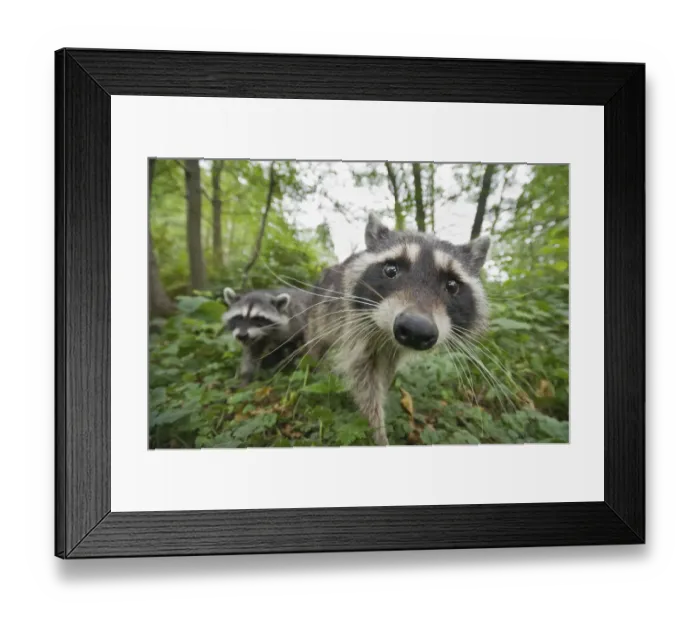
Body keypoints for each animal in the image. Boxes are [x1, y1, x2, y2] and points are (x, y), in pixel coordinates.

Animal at [305, 212, 491, 446]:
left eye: (452, 285)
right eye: (391, 270)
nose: (416, 329)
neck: (386, 336)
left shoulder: (392, 350)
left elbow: (384, 373)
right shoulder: (356, 326)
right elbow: (364, 378)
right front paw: (377, 430)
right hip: (319, 312)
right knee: (317, 342)